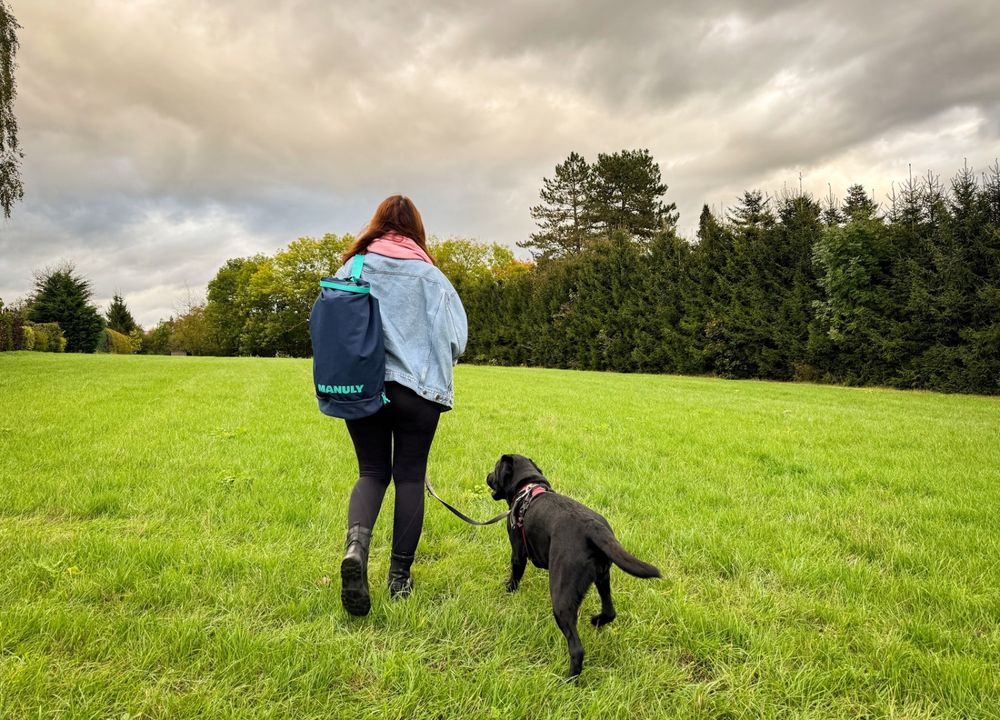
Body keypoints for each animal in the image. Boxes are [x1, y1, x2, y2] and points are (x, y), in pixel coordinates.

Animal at [486, 452, 664, 676]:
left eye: (495, 468)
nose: (487, 476)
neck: (527, 487)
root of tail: (593, 528)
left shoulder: (518, 552)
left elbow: (515, 575)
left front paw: (508, 590)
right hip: (602, 577)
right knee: (610, 611)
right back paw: (596, 621)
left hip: (561, 596)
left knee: (577, 649)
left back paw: (568, 679)